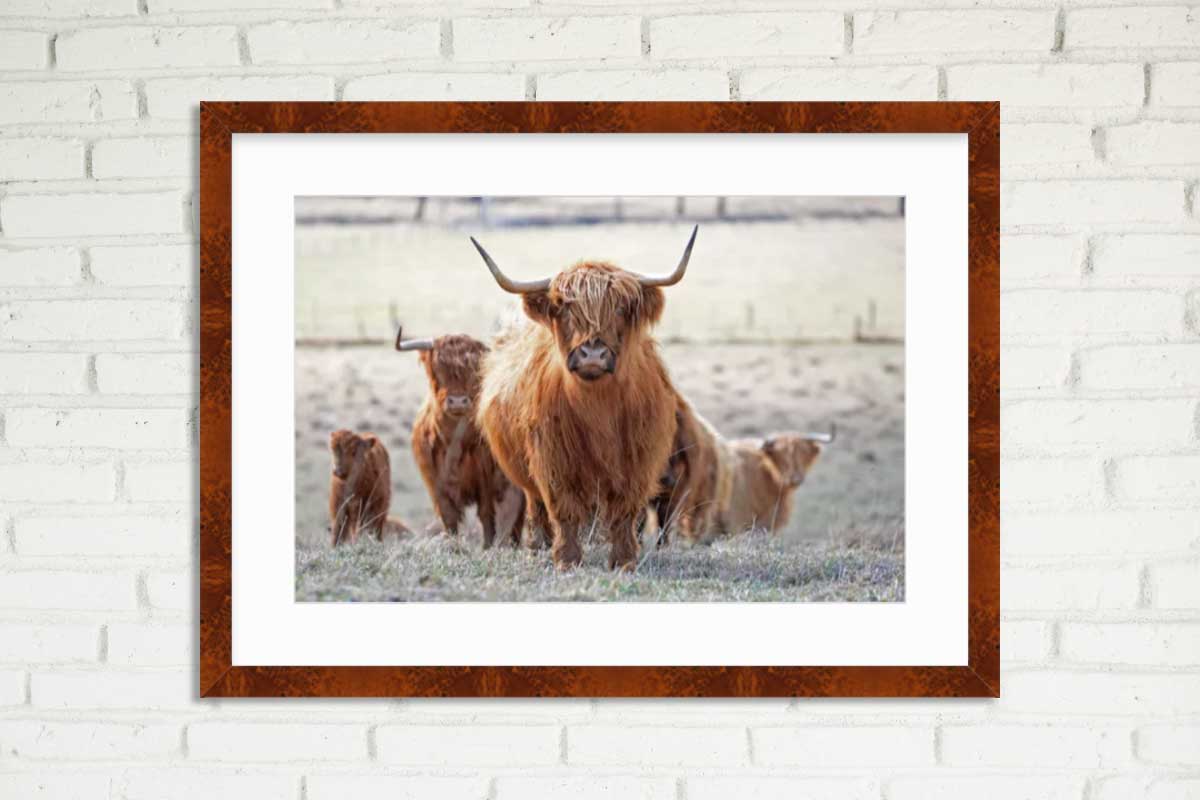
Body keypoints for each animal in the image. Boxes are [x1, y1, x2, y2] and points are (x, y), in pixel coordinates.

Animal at [397, 326, 525, 548]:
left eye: (473, 370)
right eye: (437, 367)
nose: (457, 401)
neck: (454, 444)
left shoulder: (485, 480)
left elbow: (486, 515)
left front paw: (487, 547)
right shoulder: (436, 484)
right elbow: (449, 519)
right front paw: (452, 546)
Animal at [472, 227, 697, 570]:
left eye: (619, 308)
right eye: (566, 309)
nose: (592, 354)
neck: (598, 409)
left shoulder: (636, 458)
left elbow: (625, 512)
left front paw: (624, 561)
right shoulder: (552, 457)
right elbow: (562, 509)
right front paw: (566, 560)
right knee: (536, 504)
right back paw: (537, 546)